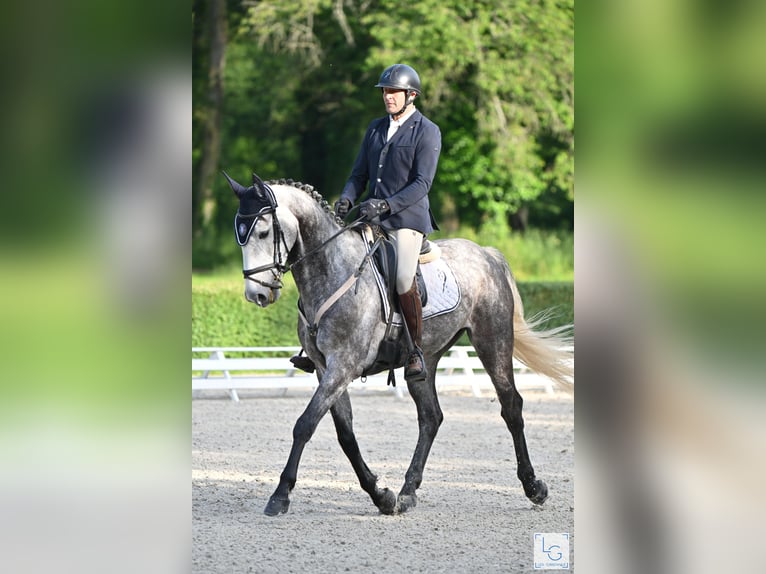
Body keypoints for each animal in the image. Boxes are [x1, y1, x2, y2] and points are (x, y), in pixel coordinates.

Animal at [225, 172, 572, 516]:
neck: (334, 270)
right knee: (431, 417)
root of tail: (486, 254)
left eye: (263, 232)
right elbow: (345, 434)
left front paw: (280, 495)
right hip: (425, 357)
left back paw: (534, 487)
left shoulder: (343, 365)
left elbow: (305, 424)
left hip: (493, 342)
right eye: (239, 236)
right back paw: (407, 492)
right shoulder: (327, 368)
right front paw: (382, 495)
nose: (257, 294)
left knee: (511, 406)